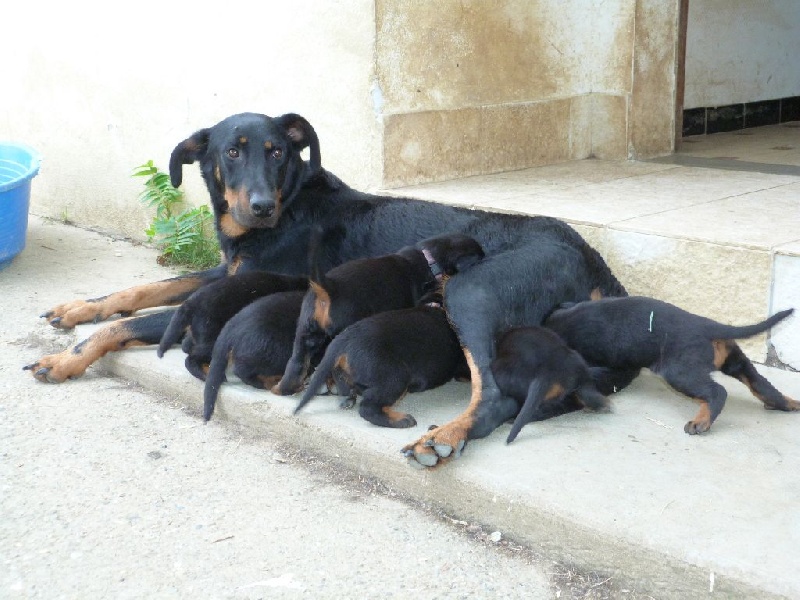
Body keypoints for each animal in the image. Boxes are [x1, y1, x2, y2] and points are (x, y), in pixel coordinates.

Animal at [272, 232, 484, 396]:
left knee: (297, 361)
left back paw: (284, 388)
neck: (429, 258)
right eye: (480, 257)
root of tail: (328, 288)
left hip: (305, 331)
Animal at [294, 294, 468, 426]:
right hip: (395, 377)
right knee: (368, 408)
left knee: (343, 381)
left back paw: (347, 397)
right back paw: (402, 420)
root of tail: (343, 339)